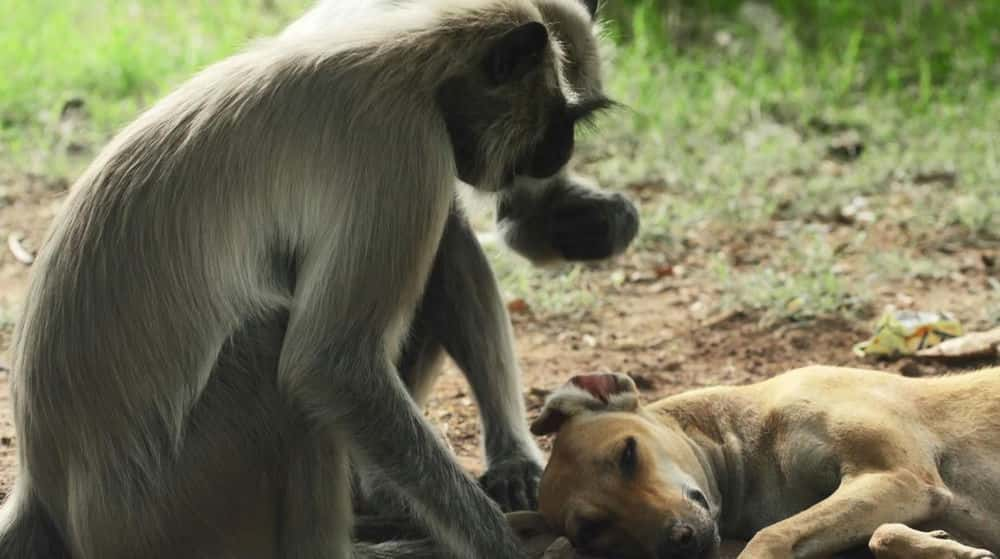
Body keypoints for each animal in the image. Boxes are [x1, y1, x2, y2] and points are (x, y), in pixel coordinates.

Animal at [520, 368, 996, 559]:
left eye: (628, 454)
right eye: (590, 530)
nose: (681, 541)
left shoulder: (897, 476)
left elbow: (768, 537)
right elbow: (880, 534)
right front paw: (946, 547)